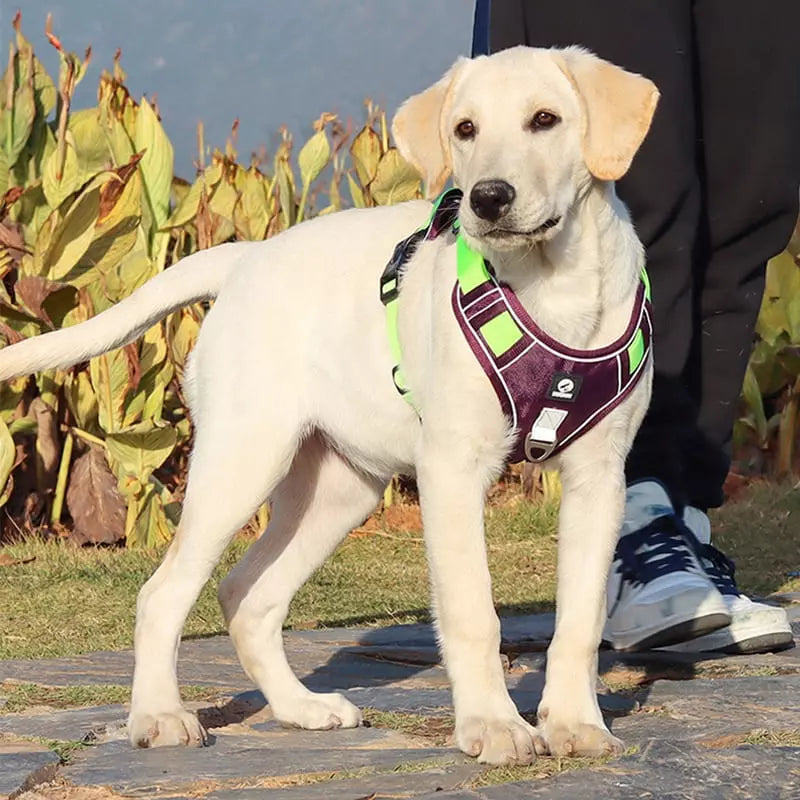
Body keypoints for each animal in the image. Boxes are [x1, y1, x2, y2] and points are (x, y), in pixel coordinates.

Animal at [0, 45, 656, 764]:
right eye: (465, 130)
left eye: (545, 120)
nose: (487, 198)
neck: (549, 286)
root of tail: (245, 257)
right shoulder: (453, 470)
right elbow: (472, 612)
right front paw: (493, 725)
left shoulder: (599, 477)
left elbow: (581, 618)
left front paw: (573, 723)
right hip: (243, 463)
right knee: (163, 593)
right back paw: (159, 715)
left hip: (338, 488)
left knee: (246, 595)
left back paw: (299, 709)